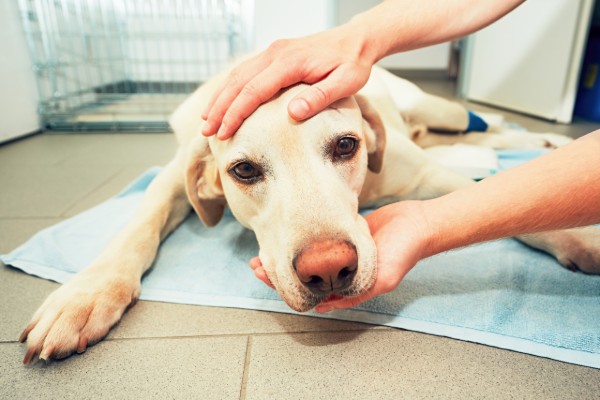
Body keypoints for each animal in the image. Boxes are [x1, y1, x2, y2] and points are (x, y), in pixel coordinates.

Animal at [19, 65, 600, 362]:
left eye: (346, 145)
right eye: (244, 170)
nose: (329, 269)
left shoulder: (427, 177)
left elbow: (513, 198)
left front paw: (580, 236)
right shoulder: (173, 173)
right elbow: (137, 224)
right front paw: (85, 296)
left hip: (440, 108)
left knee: (483, 124)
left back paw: (539, 138)